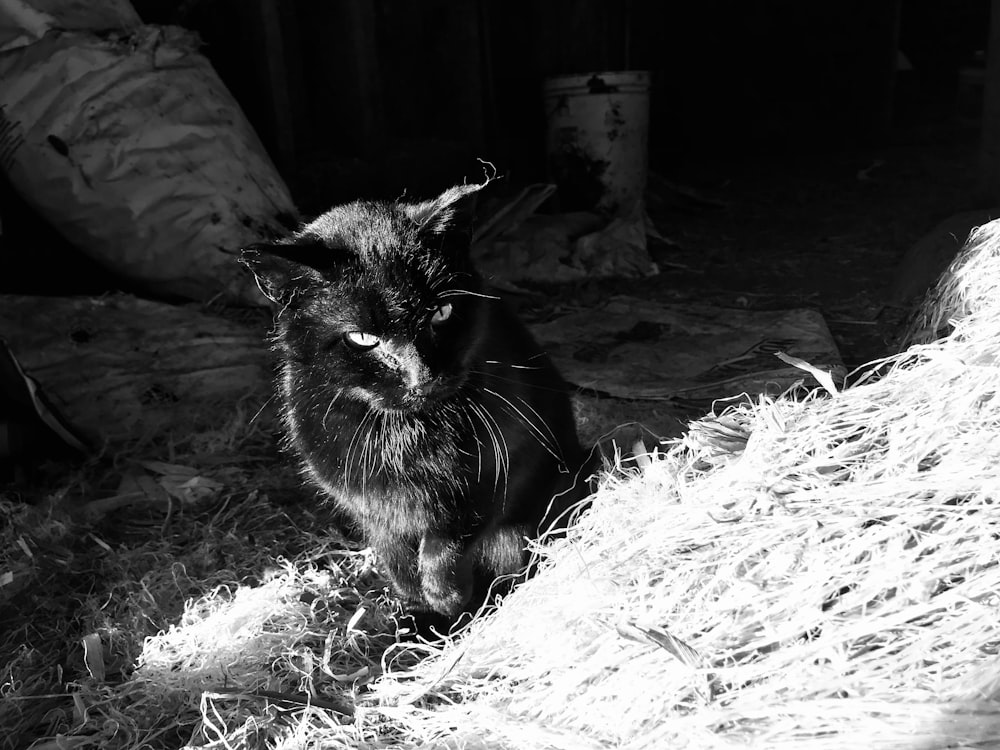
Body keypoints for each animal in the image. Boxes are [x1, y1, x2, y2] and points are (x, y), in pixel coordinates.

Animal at [241, 185, 588, 620]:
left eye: (441, 312)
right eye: (362, 338)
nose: (423, 375)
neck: (403, 434)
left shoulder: (511, 457)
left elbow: (457, 526)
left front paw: (446, 594)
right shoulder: (367, 501)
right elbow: (396, 554)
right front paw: (422, 606)